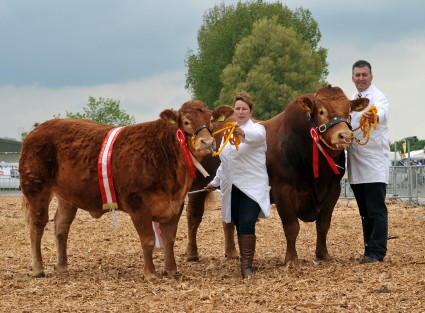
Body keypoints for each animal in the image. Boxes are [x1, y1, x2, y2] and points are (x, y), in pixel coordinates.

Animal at [17, 99, 214, 278]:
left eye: (210, 120)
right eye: (186, 122)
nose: (208, 142)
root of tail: (36, 130)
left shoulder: (175, 204)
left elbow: (169, 239)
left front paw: (171, 270)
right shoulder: (138, 203)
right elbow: (148, 240)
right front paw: (150, 274)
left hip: (67, 196)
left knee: (61, 225)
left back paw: (62, 265)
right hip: (36, 187)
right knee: (37, 225)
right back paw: (38, 269)